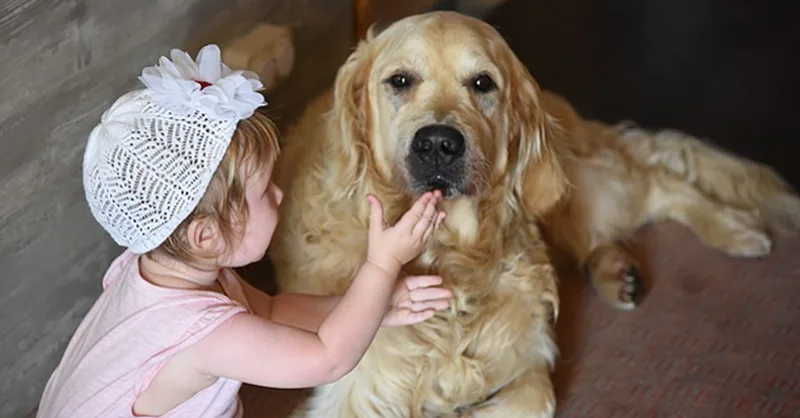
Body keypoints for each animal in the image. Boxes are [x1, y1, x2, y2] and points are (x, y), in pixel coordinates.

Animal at [270, 10, 800, 418]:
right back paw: (619, 273)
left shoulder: (530, 359)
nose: (439, 144)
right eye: (400, 81)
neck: (453, 260)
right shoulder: (352, 390)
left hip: (569, 182)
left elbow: (535, 398)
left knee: (659, 180)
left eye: (482, 83)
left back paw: (734, 230)